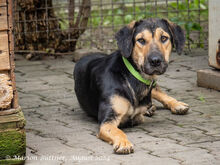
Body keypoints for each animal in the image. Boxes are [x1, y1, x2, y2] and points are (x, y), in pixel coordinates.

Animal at [73, 18, 189, 155]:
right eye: (141, 40)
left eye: (164, 38)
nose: (155, 61)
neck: (132, 76)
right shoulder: (107, 121)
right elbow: (118, 131)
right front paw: (123, 143)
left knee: (158, 91)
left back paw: (176, 104)